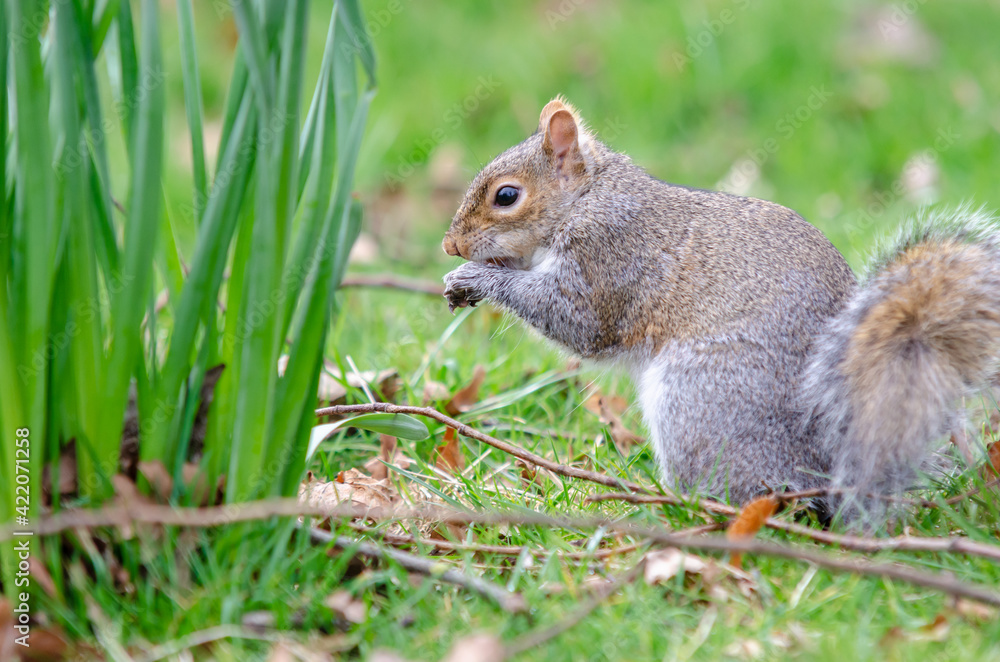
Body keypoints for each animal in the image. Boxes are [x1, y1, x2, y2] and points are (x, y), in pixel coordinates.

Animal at [441, 96, 1000, 515]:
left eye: (507, 196)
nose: (451, 246)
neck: (588, 199)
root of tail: (826, 468)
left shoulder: (611, 259)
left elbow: (578, 323)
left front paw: (479, 278)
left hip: (699, 398)